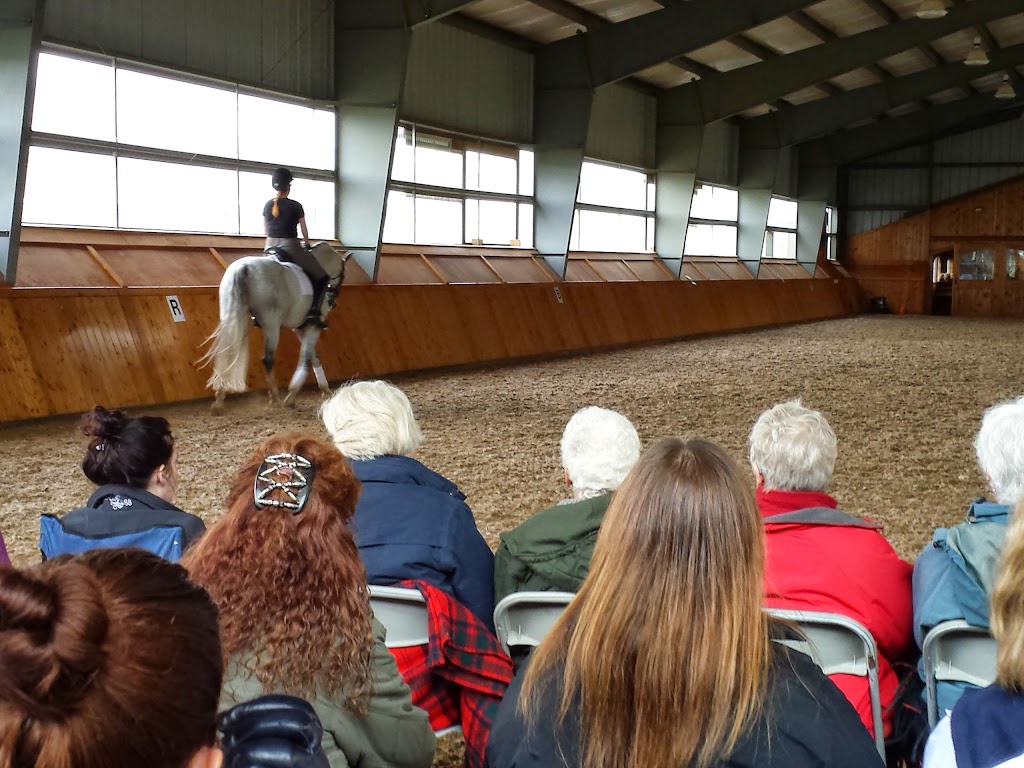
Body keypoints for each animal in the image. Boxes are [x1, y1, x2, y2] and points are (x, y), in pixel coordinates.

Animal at [201, 241, 350, 415]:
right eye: (343, 275)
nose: (332, 300)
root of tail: (244, 267)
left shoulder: (300, 328)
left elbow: (313, 356)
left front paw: (324, 389)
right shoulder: (312, 326)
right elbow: (306, 357)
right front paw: (292, 395)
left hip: (233, 316)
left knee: (228, 352)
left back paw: (219, 401)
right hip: (271, 323)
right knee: (267, 359)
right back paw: (275, 398)